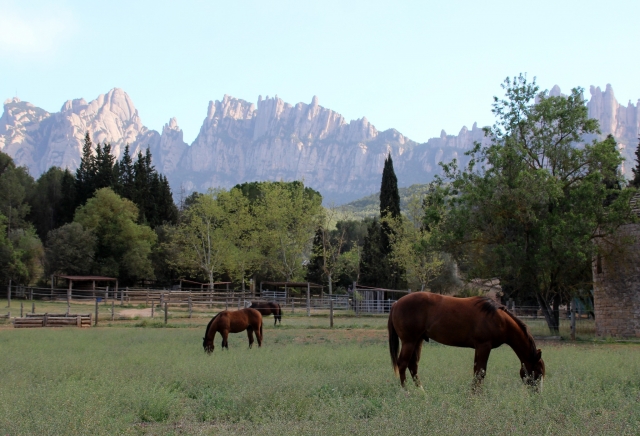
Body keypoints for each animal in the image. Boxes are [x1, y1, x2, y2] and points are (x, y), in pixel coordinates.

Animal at [388, 292, 545, 390]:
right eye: (538, 372)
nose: (537, 394)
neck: (499, 320)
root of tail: (396, 303)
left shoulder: (481, 348)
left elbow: (478, 372)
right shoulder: (483, 346)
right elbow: (480, 373)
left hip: (417, 341)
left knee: (413, 366)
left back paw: (422, 392)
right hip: (409, 341)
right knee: (402, 364)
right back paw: (406, 392)